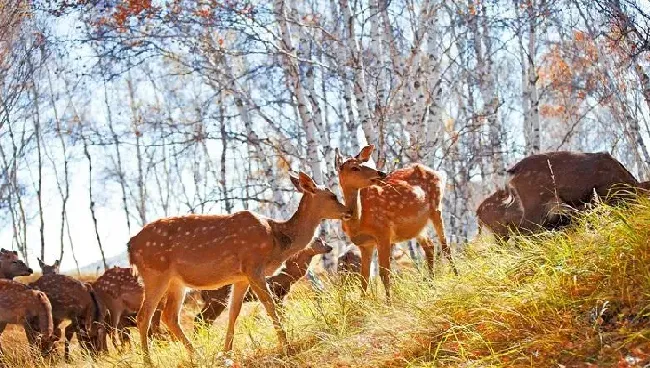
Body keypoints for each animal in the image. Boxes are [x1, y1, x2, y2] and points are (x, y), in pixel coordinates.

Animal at [195, 237, 332, 326]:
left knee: (204, 320)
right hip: (216, 300)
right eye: (318, 240)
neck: (287, 273)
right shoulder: (275, 291)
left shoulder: (282, 295)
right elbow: (281, 314)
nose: (330, 247)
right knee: (199, 319)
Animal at [334, 144, 456, 302]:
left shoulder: (383, 233)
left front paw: (388, 304)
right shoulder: (365, 244)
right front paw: (362, 304)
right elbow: (364, 277)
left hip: (436, 207)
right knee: (430, 246)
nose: (381, 173)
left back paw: (457, 277)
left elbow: (384, 273)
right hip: (417, 226)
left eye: (364, 163)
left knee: (445, 246)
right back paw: (431, 286)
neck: (359, 223)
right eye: (354, 167)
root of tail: (439, 173)